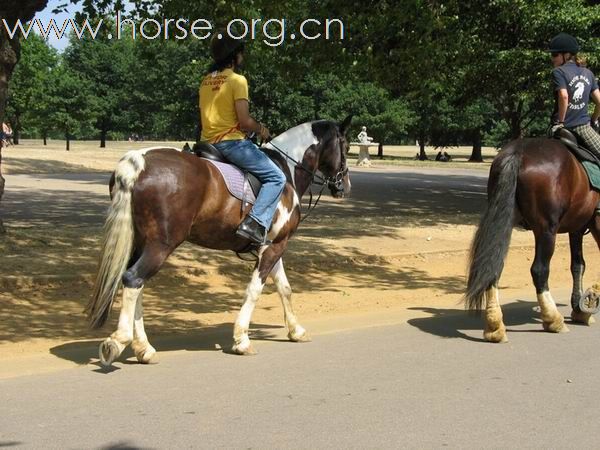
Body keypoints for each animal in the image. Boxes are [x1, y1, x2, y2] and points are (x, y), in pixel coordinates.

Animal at [86, 116, 354, 366]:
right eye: (346, 145)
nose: (345, 185)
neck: (285, 169)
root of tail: (139, 162)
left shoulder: (272, 245)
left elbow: (285, 288)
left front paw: (296, 330)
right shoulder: (275, 246)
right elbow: (255, 290)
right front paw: (242, 339)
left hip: (142, 243)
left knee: (136, 283)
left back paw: (144, 348)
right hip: (160, 245)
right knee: (133, 279)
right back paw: (119, 341)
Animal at [464, 137, 600, 342]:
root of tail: (518, 152)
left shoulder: (577, 227)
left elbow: (578, 265)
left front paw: (579, 309)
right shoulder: (594, 223)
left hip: (506, 220)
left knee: (494, 266)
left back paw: (495, 325)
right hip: (546, 230)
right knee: (539, 270)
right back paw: (553, 319)